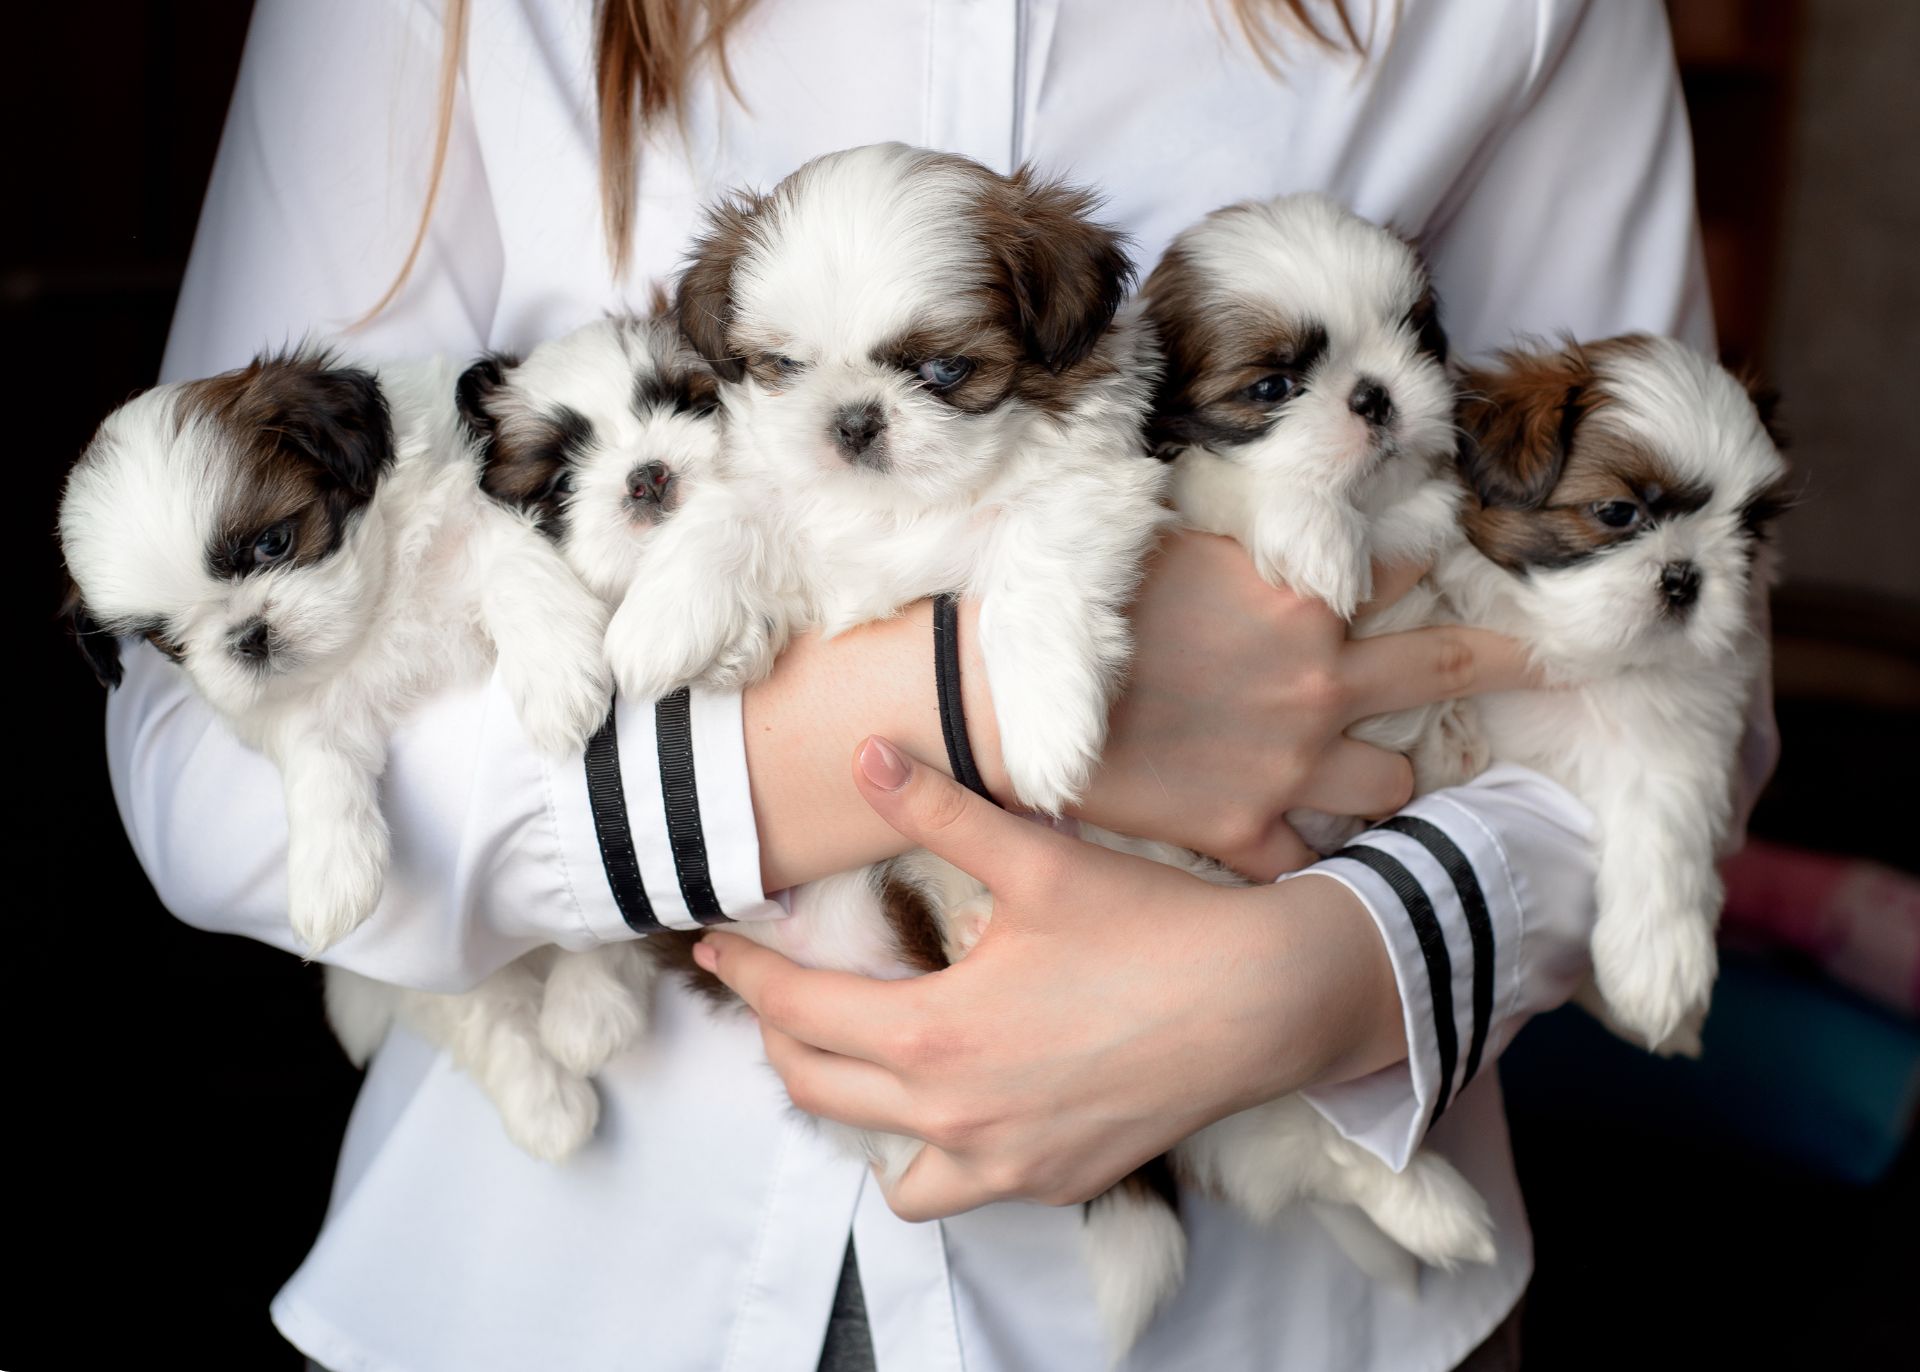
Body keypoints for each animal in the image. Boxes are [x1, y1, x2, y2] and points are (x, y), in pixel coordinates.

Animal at [60, 345, 618, 1159]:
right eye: (168, 639)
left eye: (273, 543)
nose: (247, 636)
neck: (380, 605)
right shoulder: (301, 710)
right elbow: (313, 759)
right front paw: (329, 871)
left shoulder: (483, 525)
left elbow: (518, 574)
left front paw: (557, 677)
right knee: (486, 1010)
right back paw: (545, 1099)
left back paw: (588, 1006)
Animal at [1436, 331, 1789, 1051]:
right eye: (1616, 512)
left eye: (1746, 529)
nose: (1685, 576)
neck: (1573, 650)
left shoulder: (1676, 742)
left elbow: (1661, 828)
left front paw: (1660, 970)